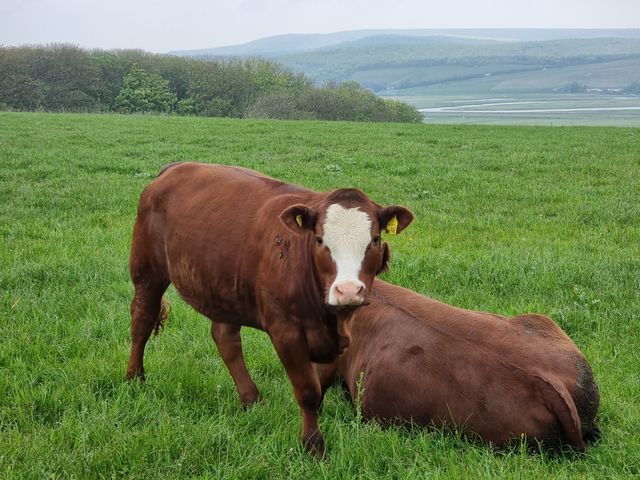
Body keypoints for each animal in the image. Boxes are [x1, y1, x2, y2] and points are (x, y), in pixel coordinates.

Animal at [126, 162, 413, 455]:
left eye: (375, 239)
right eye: (320, 240)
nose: (348, 290)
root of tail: (177, 167)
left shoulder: (338, 338)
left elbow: (320, 384)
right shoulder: (285, 331)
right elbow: (308, 391)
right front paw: (313, 445)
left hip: (224, 285)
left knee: (225, 339)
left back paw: (250, 398)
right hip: (147, 271)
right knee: (141, 321)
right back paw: (134, 378)